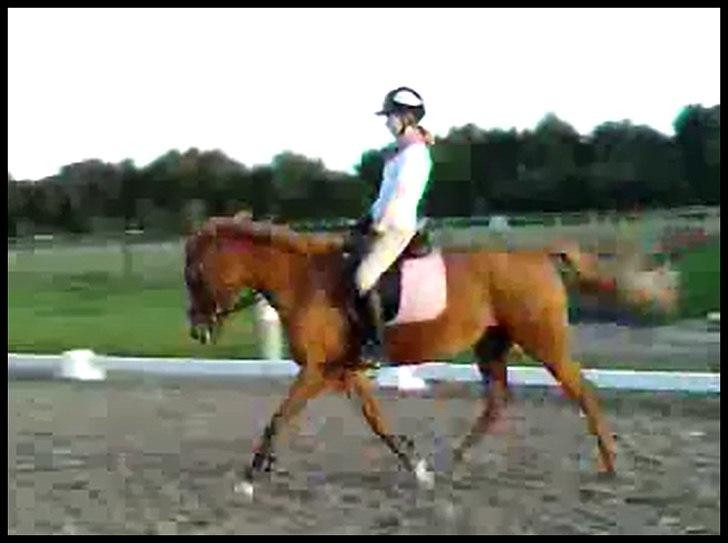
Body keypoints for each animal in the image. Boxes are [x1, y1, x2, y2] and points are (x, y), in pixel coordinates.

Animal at [183, 214, 679, 495]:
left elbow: (279, 417)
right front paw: (417, 467)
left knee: (583, 394)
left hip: (545, 343)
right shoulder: (343, 371)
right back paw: (453, 462)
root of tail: (537, 254)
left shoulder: (317, 370)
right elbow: (377, 422)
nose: (198, 331)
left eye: (195, 273)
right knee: (497, 402)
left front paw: (249, 477)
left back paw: (611, 467)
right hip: (491, 346)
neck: (304, 281)